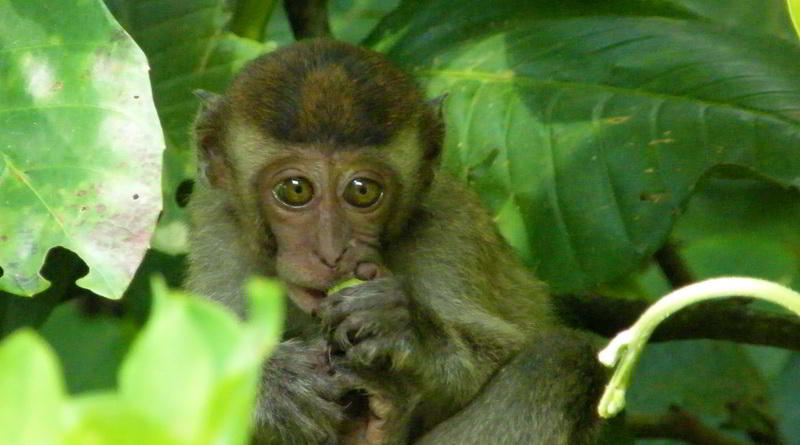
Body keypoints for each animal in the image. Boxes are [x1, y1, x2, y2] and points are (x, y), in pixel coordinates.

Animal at [184, 39, 604, 444]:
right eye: (295, 189)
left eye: (362, 191)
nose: (332, 252)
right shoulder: (217, 232)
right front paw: (272, 385)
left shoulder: (451, 228)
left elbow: (505, 350)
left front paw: (411, 332)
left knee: (559, 361)